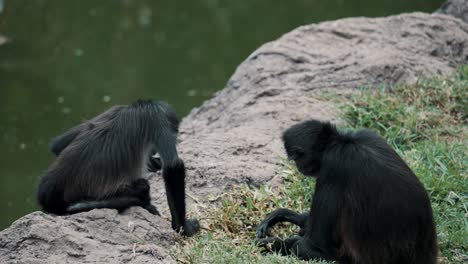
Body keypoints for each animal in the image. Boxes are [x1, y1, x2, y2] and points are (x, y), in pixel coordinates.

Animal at [36, 100, 197, 236]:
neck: (138, 107)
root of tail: (48, 190)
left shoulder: (114, 108)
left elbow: (57, 144)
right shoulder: (156, 117)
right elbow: (173, 167)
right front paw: (183, 228)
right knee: (142, 186)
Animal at [254, 120, 436, 264]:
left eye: (296, 157)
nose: (298, 166)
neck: (343, 142)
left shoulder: (333, 166)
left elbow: (313, 243)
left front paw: (275, 244)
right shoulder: (370, 134)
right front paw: (282, 214)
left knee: (302, 247)